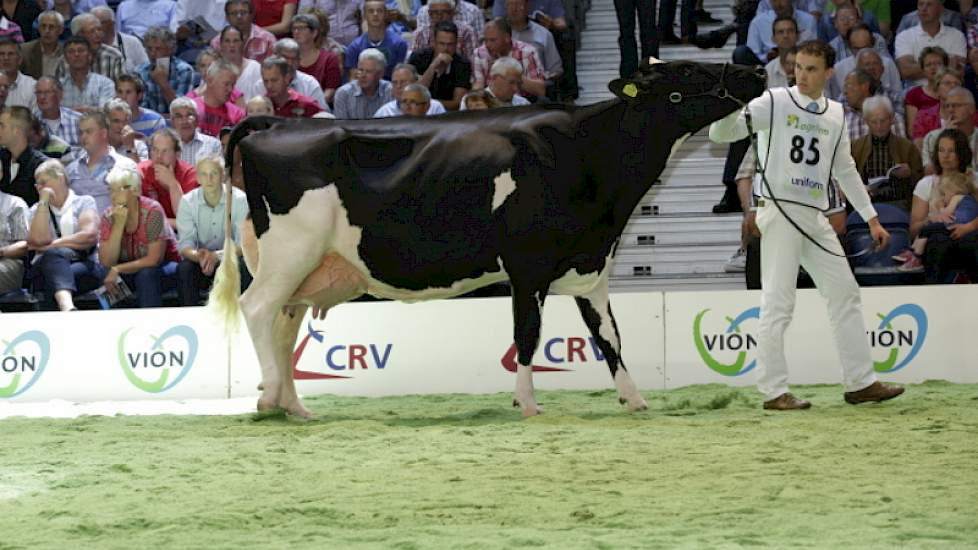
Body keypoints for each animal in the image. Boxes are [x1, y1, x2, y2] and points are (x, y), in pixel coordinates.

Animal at [210, 58, 768, 418]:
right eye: (688, 71)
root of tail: (274, 123)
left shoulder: (591, 266)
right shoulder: (528, 264)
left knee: (284, 323)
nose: (760, 71)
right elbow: (527, 335)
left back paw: (294, 405)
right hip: (291, 251)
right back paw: (268, 399)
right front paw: (527, 402)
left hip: (307, 265)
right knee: (258, 309)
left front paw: (634, 398)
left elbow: (609, 336)